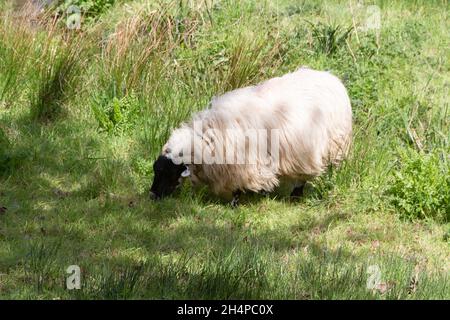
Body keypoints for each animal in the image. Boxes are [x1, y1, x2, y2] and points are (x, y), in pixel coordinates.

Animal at [149, 66, 354, 204]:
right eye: (155, 170)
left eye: (167, 172)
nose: (152, 196)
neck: (206, 139)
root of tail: (332, 78)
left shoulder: (242, 163)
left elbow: (239, 186)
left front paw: (236, 202)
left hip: (330, 145)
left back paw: (297, 195)